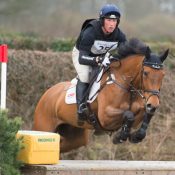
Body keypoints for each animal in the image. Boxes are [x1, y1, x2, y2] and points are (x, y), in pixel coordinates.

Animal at [32, 38, 168, 152]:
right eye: (145, 73)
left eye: (163, 75)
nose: (153, 104)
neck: (125, 84)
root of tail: (46, 94)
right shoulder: (105, 117)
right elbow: (129, 115)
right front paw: (120, 136)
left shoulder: (138, 113)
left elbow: (145, 114)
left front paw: (137, 136)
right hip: (44, 127)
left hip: (75, 137)